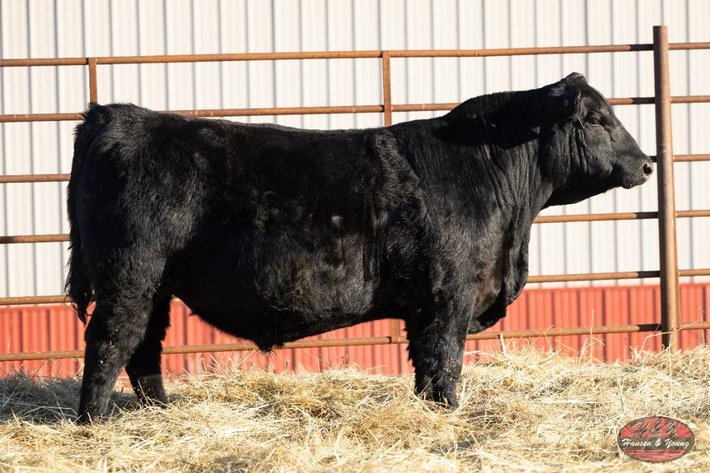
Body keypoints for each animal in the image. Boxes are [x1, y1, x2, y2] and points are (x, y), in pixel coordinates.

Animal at [66, 73, 652, 422]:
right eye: (596, 118)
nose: (647, 163)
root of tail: (116, 116)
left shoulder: (425, 304)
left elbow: (425, 366)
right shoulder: (450, 295)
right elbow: (445, 360)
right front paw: (449, 414)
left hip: (157, 285)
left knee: (144, 347)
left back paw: (158, 414)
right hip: (130, 275)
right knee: (110, 342)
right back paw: (95, 422)